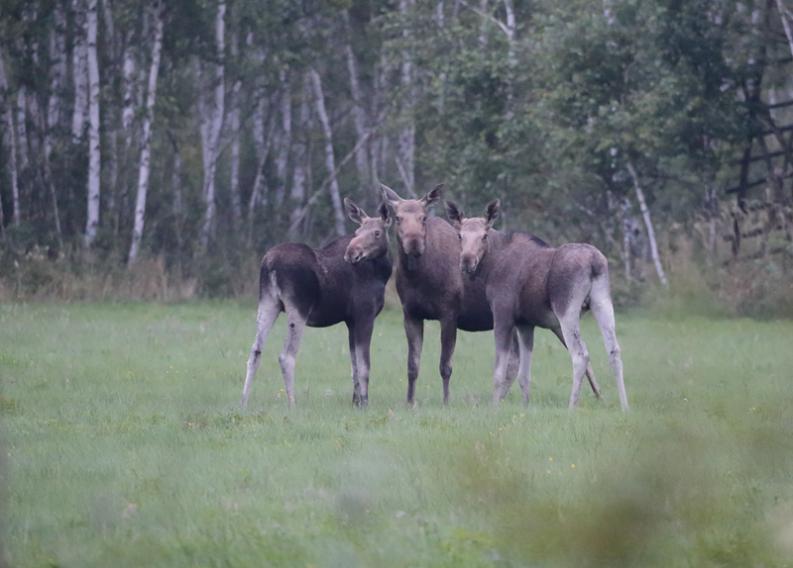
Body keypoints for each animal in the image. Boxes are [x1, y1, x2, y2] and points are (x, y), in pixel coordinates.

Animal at [240, 197, 392, 406]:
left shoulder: (350, 321)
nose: (352, 253)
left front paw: (355, 402)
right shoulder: (365, 315)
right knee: (286, 356)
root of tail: (269, 264)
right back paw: (292, 404)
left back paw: (243, 402)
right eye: (357, 232)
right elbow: (364, 365)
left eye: (377, 232)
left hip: (267, 303)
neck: (383, 273)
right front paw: (364, 402)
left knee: (255, 351)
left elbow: (353, 365)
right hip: (298, 309)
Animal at [378, 182, 520, 404]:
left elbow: (445, 366)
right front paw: (410, 402)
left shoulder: (449, 313)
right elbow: (412, 366)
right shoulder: (411, 314)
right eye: (398, 218)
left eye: (423, 217)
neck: (418, 277)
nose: (414, 242)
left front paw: (446, 401)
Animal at [446, 199, 624, 408]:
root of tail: (594, 262)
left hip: (566, 310)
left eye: (484, 235)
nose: (467, 261)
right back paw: (625, 406)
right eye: (460, 235)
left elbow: (499, 372)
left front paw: (494, 407)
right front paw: (526, 406)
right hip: (603, 302)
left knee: (581, 355)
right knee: (614, 351)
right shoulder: (525, 323)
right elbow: (524, 375)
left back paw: (572, 406)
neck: (490, 267)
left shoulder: (502, 315)